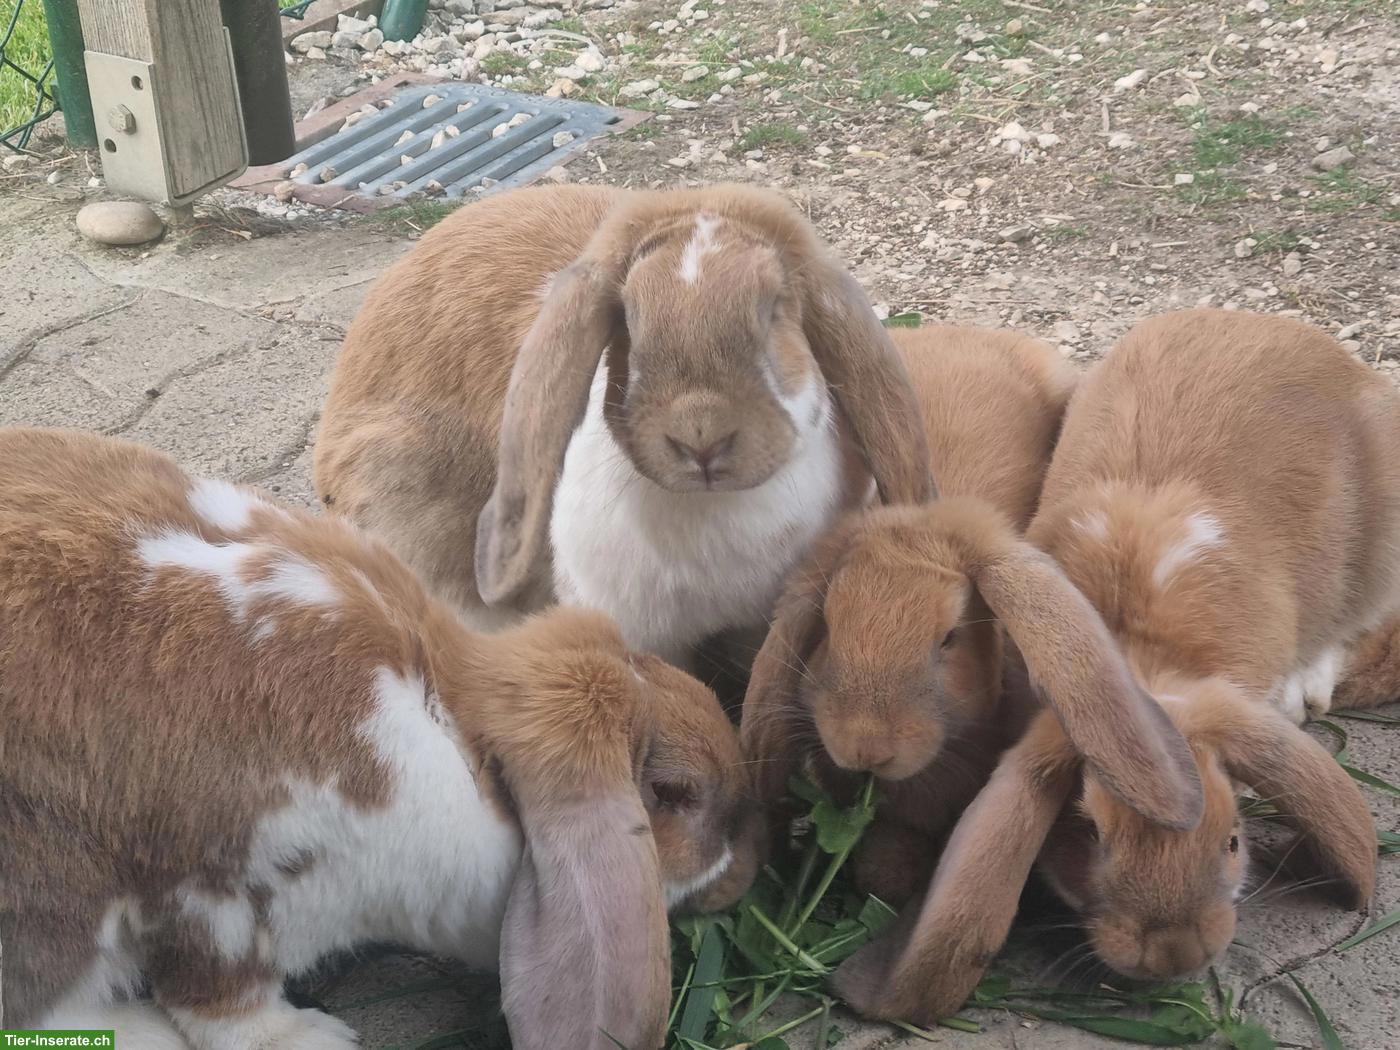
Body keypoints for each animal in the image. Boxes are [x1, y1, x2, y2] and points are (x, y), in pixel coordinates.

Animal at [0, 427, 758, 1050]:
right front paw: (314, 1039)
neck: (453, 729)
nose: (741, 878)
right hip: (54, 898)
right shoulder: (218, 900)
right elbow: (224, 1008)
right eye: (673, 792)